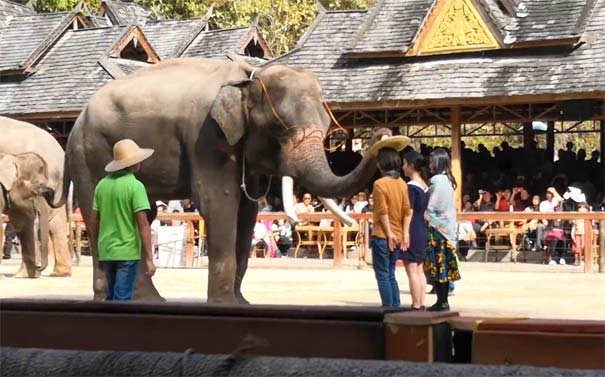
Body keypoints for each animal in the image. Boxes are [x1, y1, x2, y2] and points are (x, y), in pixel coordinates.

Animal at [59, 58, 384, 302]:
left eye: (328, 125)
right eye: (279, 129)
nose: (381, 137)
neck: (248, 77)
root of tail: (77, 120)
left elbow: (247, 211)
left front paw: (241, 303)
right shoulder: (206, 138)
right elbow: (219, 203)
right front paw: (224, 303)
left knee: (142, 213)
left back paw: (141, 298)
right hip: (89, 155)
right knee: (98, 213)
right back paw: (121, 298)